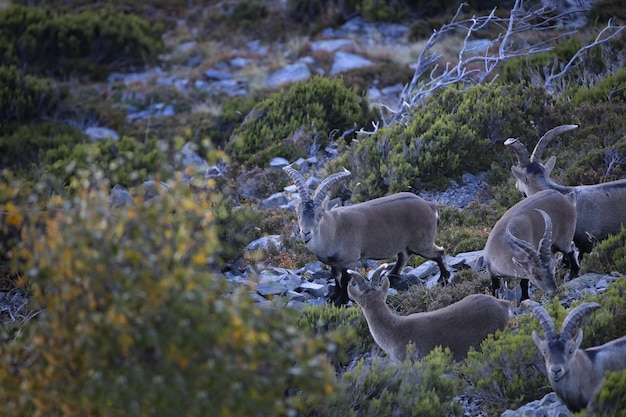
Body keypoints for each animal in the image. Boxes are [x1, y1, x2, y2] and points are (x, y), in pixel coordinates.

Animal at [282, 166, 448, 306]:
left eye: (320, 213)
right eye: (298, 213)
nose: (305, 232)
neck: (333, 230)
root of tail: (430, 206)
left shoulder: (349, 261)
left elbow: (345, 281)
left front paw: (342, 301)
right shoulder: (334, 263)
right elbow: (335, 278)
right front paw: (333, 297)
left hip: (422, 243)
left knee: (438, 253)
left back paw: (443, 279)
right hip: (405, 243)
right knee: (404, 256)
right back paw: (392, 277)